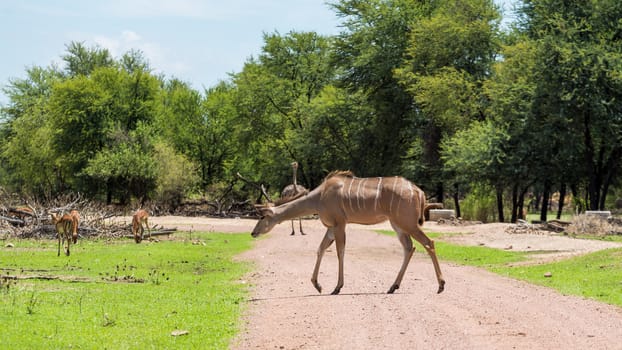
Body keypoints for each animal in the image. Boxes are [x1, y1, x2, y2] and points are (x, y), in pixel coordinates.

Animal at [251, 171, 446, 294]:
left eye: (262, 217)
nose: (253, 233)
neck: (319, 197)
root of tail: (418, 191)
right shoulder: (331, 227)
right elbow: (321, 249)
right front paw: (317, 285)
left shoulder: (339, 224)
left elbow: (340, 251)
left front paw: (337, 287)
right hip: (397, 225)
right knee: (409, 248)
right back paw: (393, 286)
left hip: (407, 223)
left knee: (429, 243)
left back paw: (441, 285)